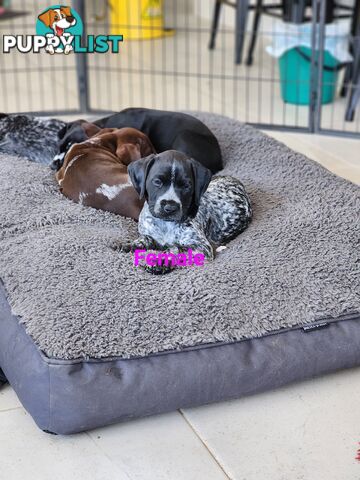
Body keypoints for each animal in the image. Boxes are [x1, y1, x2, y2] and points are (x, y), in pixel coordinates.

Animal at [116, 149, 252, 274]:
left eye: (186, 186)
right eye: (157, 182)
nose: (170, 207)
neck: (165, 224)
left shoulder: (202, 247)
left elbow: (176, 249)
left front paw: (161, 262)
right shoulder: (151, 235)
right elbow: (145, 239)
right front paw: (129, 244)